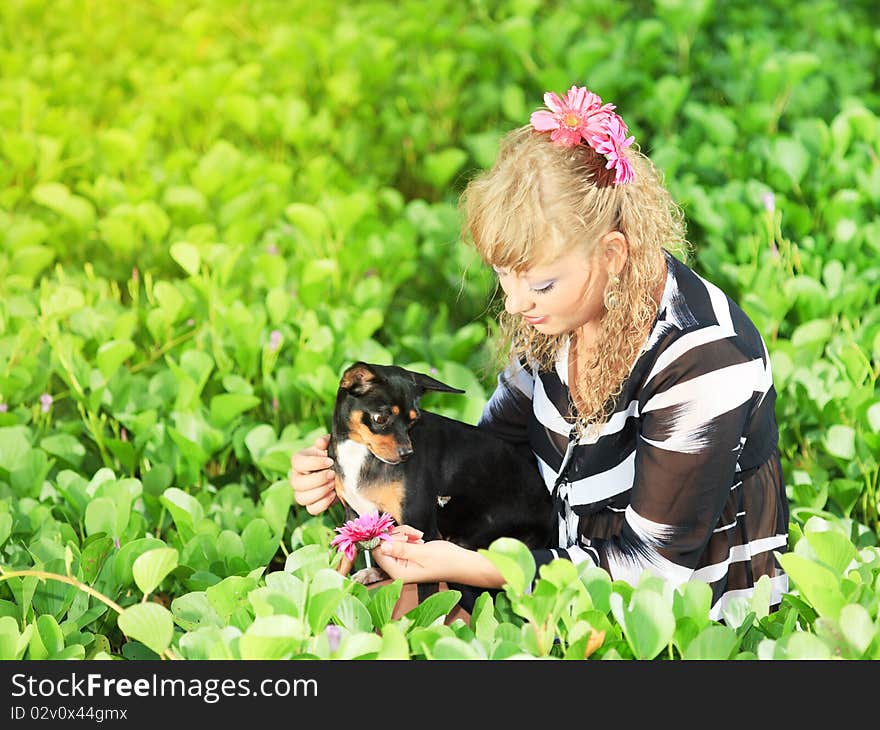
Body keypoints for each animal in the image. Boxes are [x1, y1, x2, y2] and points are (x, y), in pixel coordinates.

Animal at [330, 362, 552, 584]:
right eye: (381, 418)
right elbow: (342, 561)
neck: (360, 454)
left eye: (413, 422)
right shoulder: (352, 518)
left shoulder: (419, 525)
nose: (407, 454)